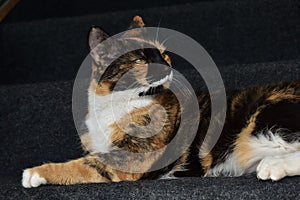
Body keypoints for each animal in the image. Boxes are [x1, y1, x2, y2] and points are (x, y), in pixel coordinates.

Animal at [21, 15, 300, 188]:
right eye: (140, 59)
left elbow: (84, 166)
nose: (166, 65)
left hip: (268, 115)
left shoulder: (131, 158)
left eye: (164, 55)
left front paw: (35, 172)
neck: (116, 103)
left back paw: (271, 166)